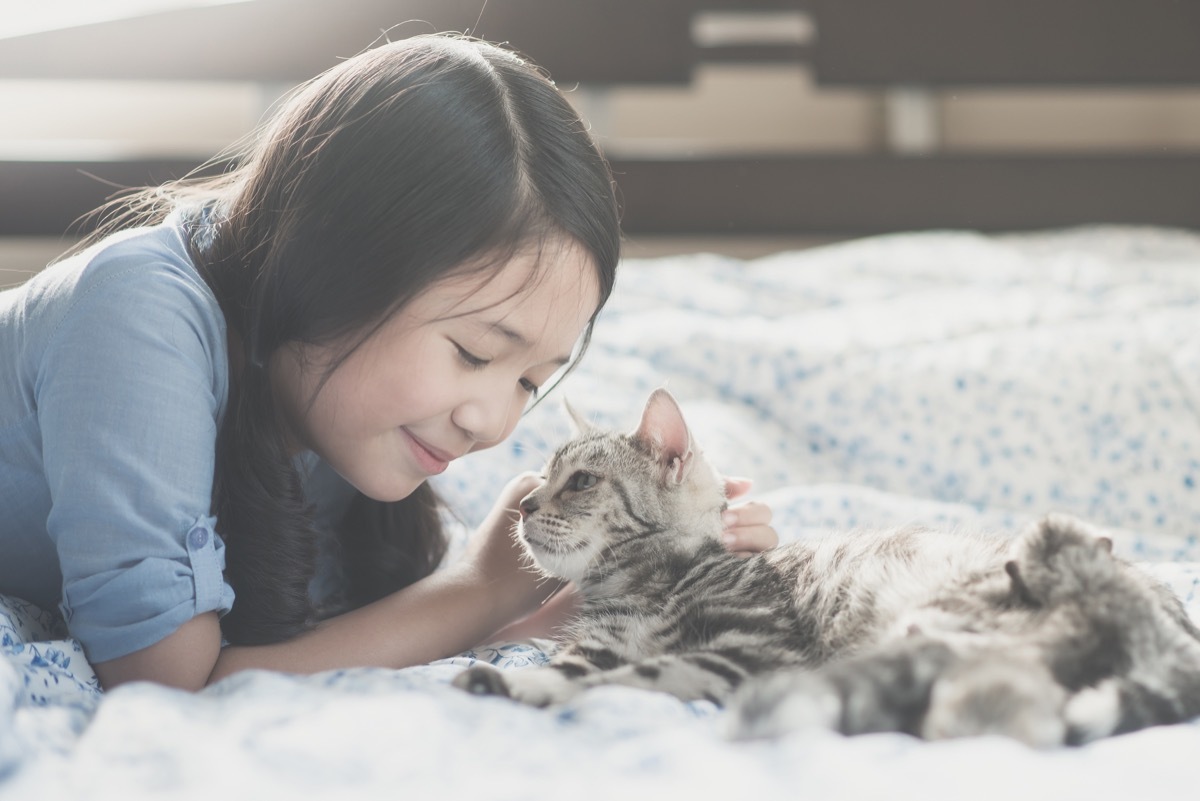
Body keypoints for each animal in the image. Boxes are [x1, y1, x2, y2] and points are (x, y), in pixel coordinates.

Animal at [453, 388, 1200, 743]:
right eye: (542, 478)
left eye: (580, 482)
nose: (523, 505)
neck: (640, 586)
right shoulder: (598, 645)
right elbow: (579, 669)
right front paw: (516, 681)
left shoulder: (751, 650)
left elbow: (641, 676)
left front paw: (535, 689)